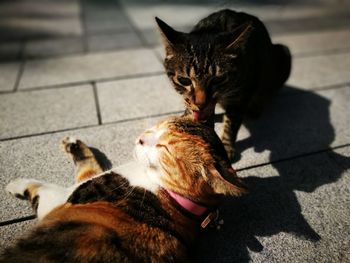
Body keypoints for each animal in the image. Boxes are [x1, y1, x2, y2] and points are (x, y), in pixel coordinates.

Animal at [1, 117, 245, 263]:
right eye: (159, 125)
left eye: (164, 147)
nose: (142, 137)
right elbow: (88, 165)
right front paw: (73, 144)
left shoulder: (61, 198)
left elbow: (40, 188)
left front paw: (14, 184)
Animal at [157, 9, 292, 160]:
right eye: (184, 80)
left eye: (218, 79)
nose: (200, 103)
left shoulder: (241, 95)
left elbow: (232, 124)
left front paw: (226, 147)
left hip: (283, 53)